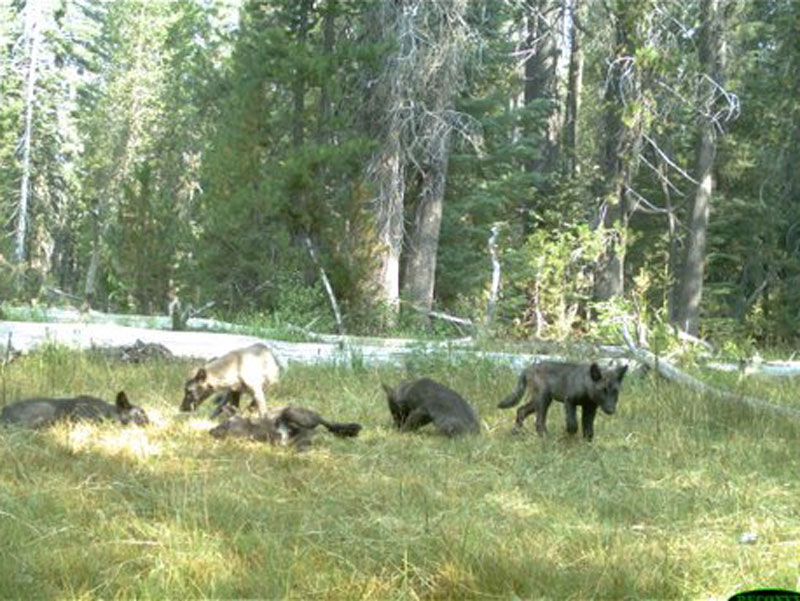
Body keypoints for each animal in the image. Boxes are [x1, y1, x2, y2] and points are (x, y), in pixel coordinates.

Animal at [496, 360, 628, 440]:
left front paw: (587, 445)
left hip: (539, 401)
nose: (611, 410)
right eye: (603, 391)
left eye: (615, 391)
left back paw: (515, 433)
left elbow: (588, 429)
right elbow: (573, 424)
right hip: (543, 400)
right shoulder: (569, 401)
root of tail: (528, 368)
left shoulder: (589, 409)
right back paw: (546, 439)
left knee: (521, 410)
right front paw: (568, 436)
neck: (586, 386)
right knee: (539, 421)